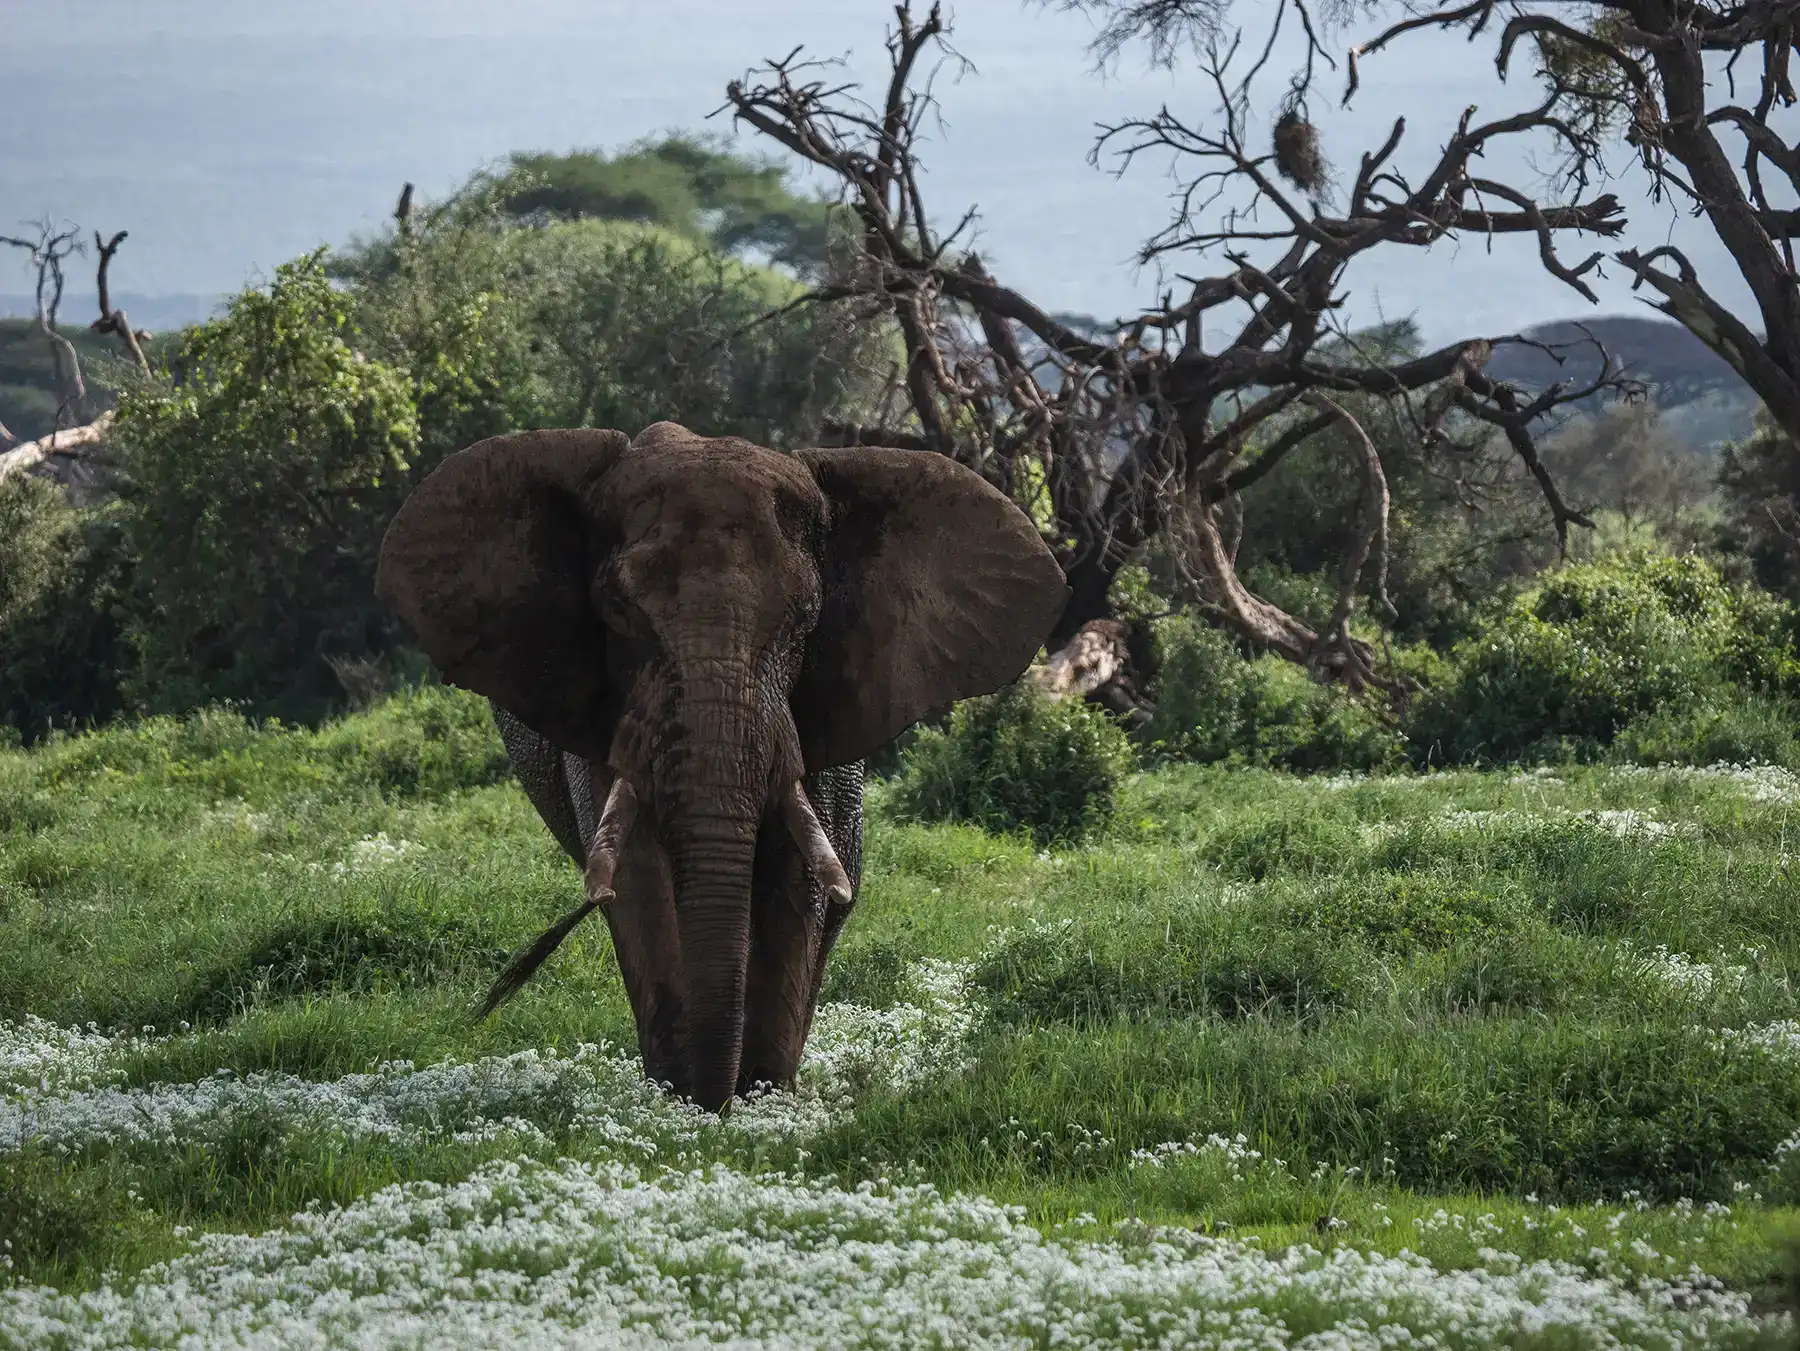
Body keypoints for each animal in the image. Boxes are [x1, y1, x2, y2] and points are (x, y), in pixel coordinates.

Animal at [375, 421, 1067, 1111]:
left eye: (803, 619)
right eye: (618, 612)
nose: (715, 1100)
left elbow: (799, 876)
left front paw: (761, 1098)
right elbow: (640, 876)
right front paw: (682, 1101)